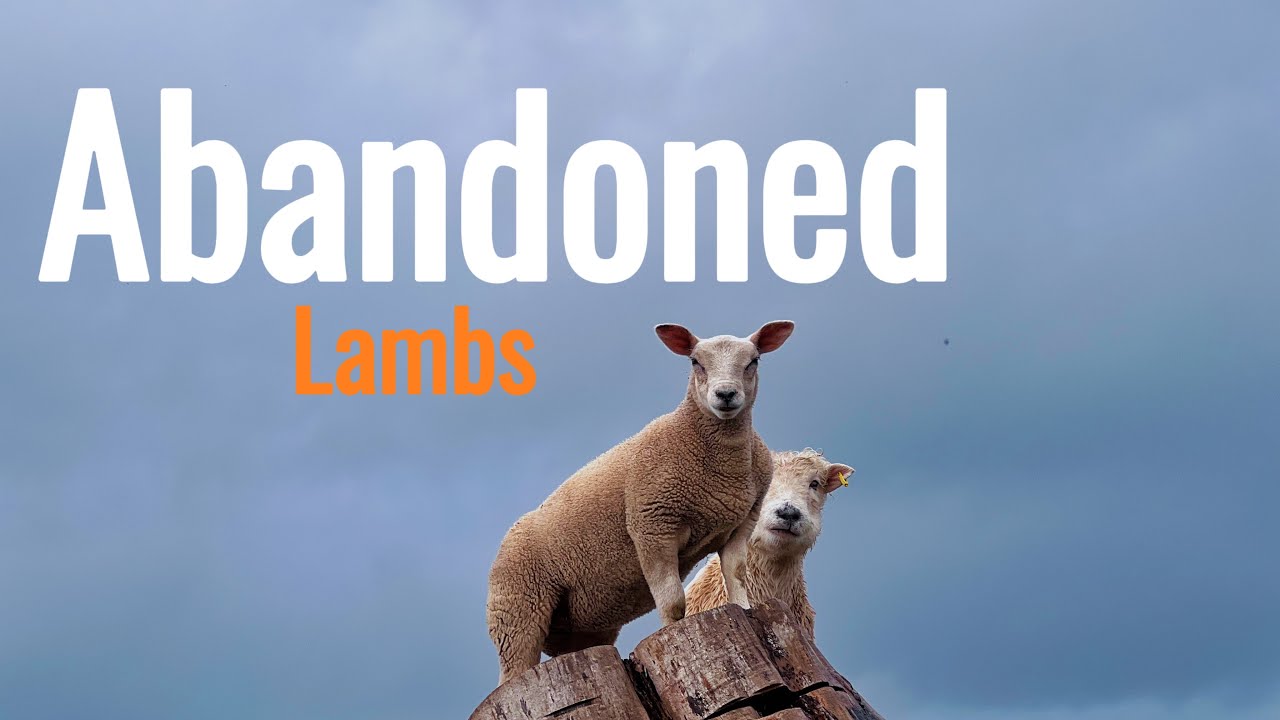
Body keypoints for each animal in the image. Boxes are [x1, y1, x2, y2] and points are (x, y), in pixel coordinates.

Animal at [485, 321, 795, 684]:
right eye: (695, 362)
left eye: (753, 361)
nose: (726, 395)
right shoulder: (652, 525)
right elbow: (673, 601)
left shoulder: (741, 523)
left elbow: (736, 576)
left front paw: (745, 609)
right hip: (517, 611)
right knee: (513, 671)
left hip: (580, 626)